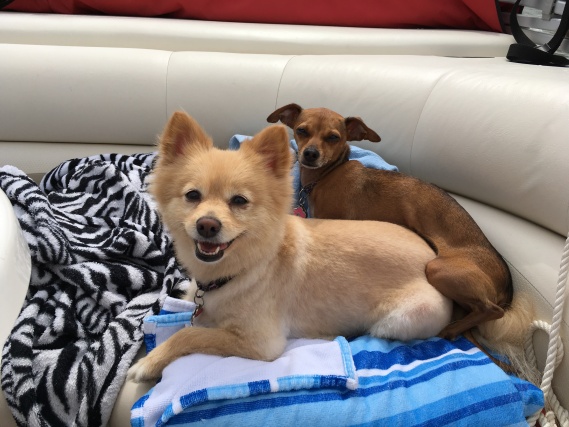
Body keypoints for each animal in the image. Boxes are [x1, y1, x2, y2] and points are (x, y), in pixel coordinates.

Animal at [126, 112, 450, 382]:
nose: (207, 225)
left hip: (400, 320)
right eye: (192, 196)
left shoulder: (260, 343)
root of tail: (432, 257)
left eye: (239, 201)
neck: (246, 266)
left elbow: (189, 336)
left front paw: (150, 362)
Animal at [268, 104, 520, 348]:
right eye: (301, 130)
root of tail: (507, 286)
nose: (310, 154)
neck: (328, 174)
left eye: (333, 137)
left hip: (438, 269)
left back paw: (450, 330)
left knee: (492, 310)